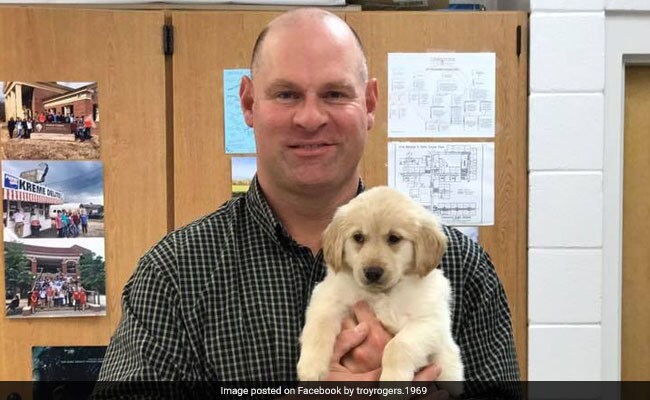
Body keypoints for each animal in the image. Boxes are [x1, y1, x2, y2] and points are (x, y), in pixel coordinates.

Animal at [296, 188, 464, 394]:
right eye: (358, 237)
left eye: (394, 238)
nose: (372, 272)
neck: (382, 294)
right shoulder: (326, 299)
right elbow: (318, 328)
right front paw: (311, 368)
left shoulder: (430, 321)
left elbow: (397, 346)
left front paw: (393, 382)